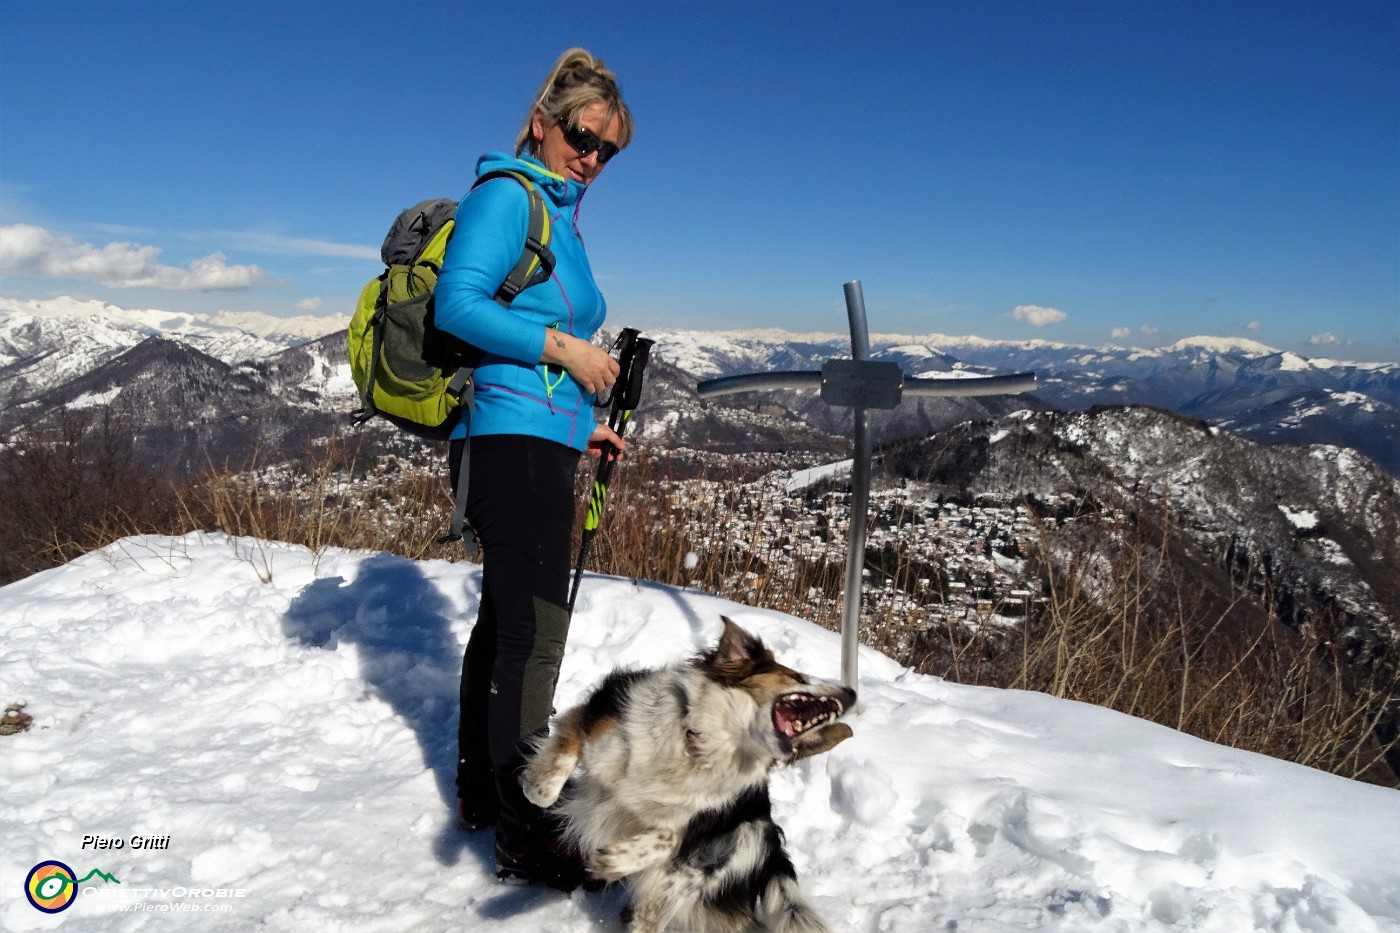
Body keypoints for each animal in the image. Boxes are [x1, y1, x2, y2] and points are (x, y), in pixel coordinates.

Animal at [523, 616, 851, 930]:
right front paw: (533, 785)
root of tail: (769, 835)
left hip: (679, 888)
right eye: (798, 678)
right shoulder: (595, 719)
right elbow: (547, 787)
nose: (851, 692)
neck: (705, 746)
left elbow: (668, 836)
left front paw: (616, 861)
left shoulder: (683, 820)